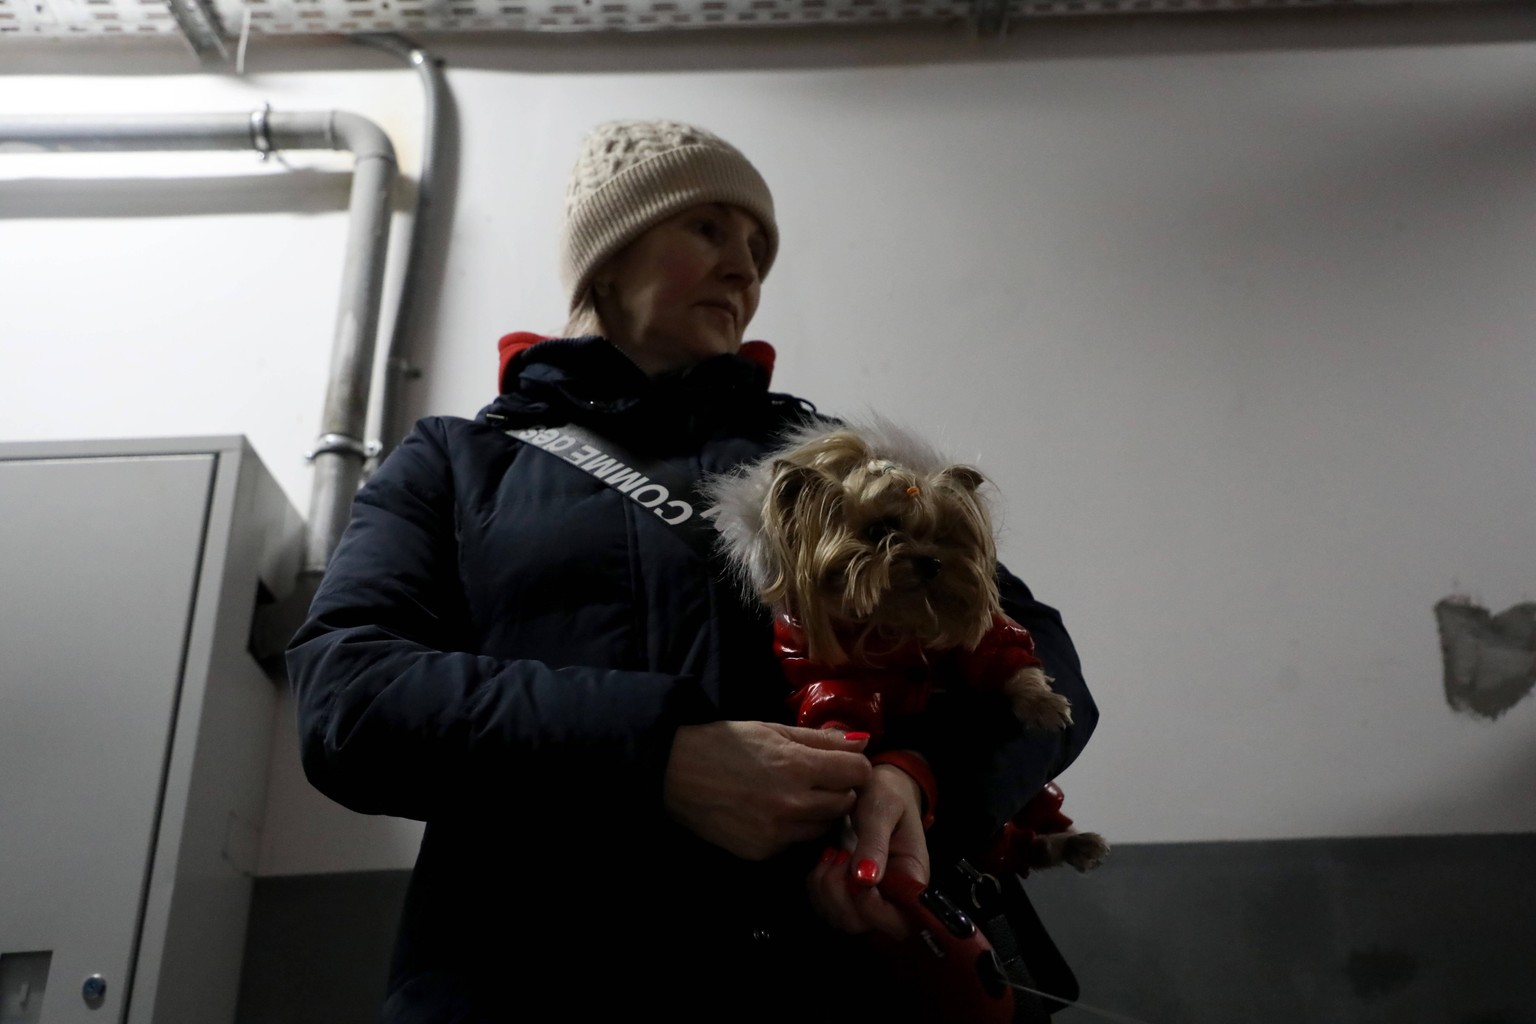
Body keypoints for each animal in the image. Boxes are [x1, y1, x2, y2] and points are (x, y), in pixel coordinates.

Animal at [703, 420, 1112, 878]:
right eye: (878, 531)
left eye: (944, 534)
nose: (932, 562)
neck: (893, 619)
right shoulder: (819, 662)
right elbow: (838, 701)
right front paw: (837, 739)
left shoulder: (979, 639)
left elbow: (1002, 654)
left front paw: (1043, 703)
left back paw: (1072, 842)